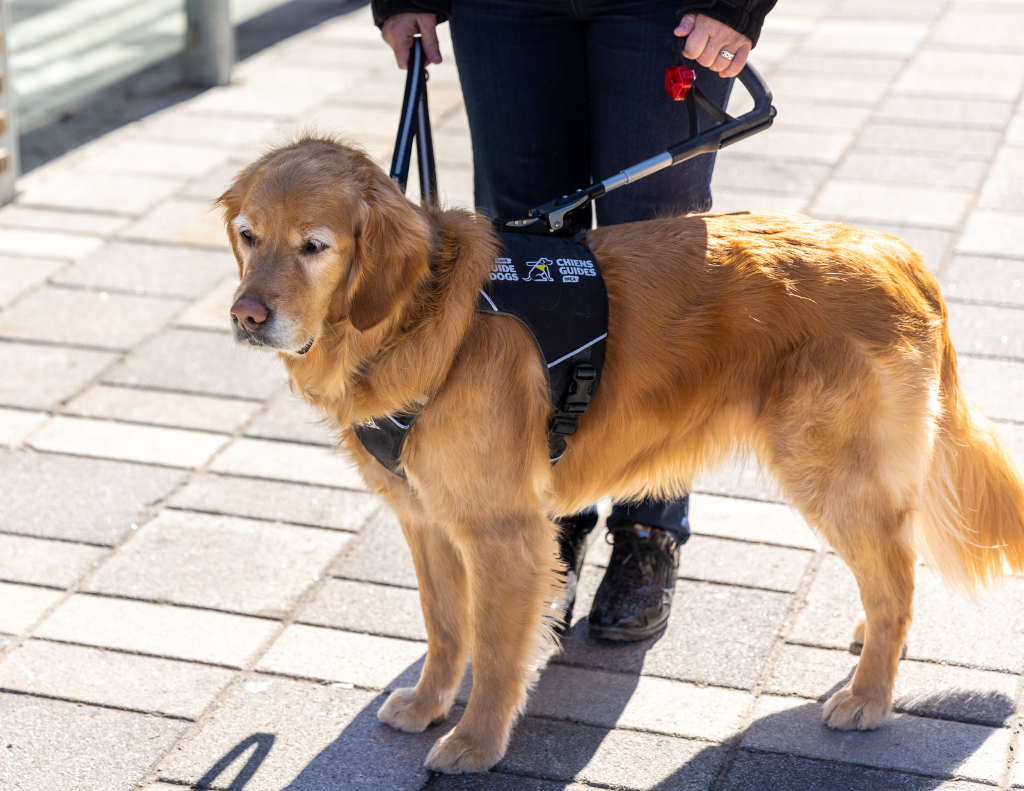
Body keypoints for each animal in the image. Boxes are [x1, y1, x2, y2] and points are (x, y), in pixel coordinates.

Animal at [220, 137, 1024, 770]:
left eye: (315, 246)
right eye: (249, 235)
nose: (246, 316)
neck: (418, 318)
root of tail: (901, 257)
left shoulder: (502, 530)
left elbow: (497, 649)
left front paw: (476, 743)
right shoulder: (425, 520)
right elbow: (446, 628)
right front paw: (425, 705)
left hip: (828, 470)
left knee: (896, 577)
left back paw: (870, 694)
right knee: (895, 564)